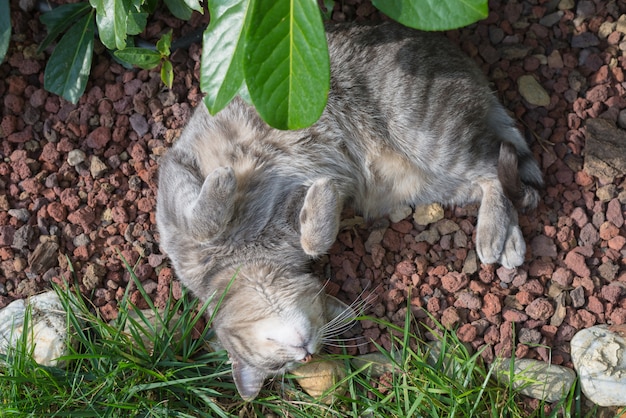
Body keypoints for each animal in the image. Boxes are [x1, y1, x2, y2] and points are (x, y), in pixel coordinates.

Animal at [155, 21, 540, 400]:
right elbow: (315, 233)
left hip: (428, 138)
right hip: (427, 181)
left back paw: (494, 235)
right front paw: (320, 200)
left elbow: (205, 218)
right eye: (281, 367)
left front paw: (225, 184)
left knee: (495, 166)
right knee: (495, 178)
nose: (307, 353)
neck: (245, 259)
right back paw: (507, 240)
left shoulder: (175, 176)